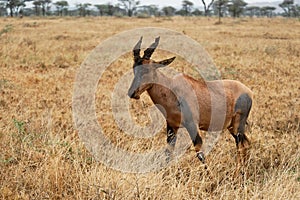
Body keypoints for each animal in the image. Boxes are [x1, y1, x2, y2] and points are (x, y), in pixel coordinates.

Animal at [127, 36, 253, 174]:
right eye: (134, 68)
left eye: (148, 69)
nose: (132, 93)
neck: (172, 89)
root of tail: (248, 91)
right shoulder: (172, 126)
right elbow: (168, 152)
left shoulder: (192, 124)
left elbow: (200, 152)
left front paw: (210, 176)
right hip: (232, 127)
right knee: (246, 143)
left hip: (237, 125)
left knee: (241, 146)